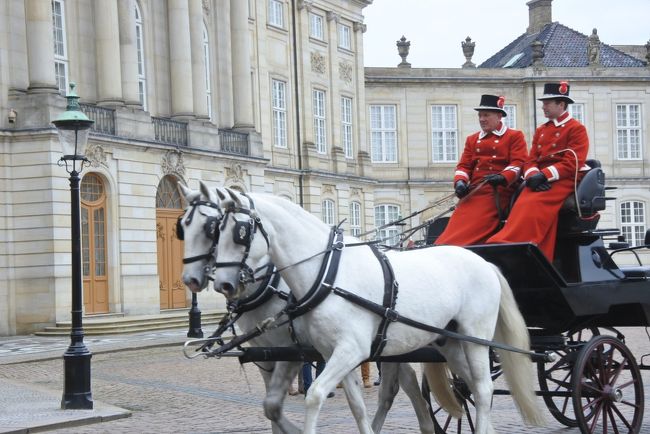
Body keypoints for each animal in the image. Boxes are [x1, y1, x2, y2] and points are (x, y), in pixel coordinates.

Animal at [181, 185, 540, 432]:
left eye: (237, 232)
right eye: (183, 228)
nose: (220, 283)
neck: (326, 275)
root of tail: (482, 260)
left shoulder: (340, 351)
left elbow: (314, 396)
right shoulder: (323, 353)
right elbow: (353, 406)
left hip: (475, 338)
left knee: (482, 387)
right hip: (448, 343)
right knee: (469, 388)